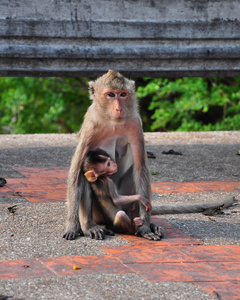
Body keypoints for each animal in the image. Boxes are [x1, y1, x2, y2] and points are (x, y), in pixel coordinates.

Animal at [63, 70, 163, 241]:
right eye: (110, 94)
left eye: (122, 94)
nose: (119, 109)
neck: (113, 122)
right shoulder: (91, 126)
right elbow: (76, 172)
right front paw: (72, 226)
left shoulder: (135, 124)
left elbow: (140, 169)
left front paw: (145, 227)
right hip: (100, 214)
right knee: (84, 174)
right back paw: (90, 226)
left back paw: (145, 223)